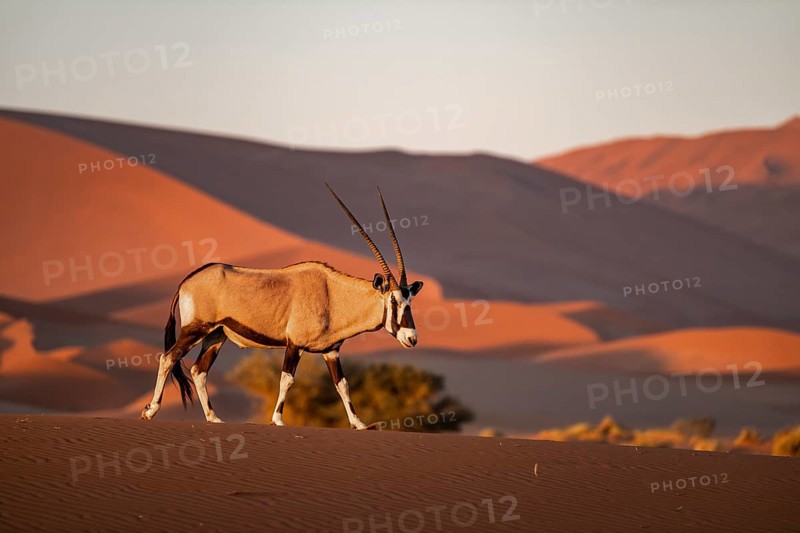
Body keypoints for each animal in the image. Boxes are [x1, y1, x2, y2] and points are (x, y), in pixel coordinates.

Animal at [140, 184, 424, 429]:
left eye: (410, 301)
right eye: (393, 300)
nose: (412, 338)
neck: (332, 295)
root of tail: (186, 281)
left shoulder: (331, 351)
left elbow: (342, 384)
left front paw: (359, 423)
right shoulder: (294, 344)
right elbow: (287, 379)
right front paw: (277, 420)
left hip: (216, 336)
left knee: (199, 370)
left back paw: (213, 417)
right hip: (196, 329)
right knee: (168, 357)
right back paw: (151, 411)